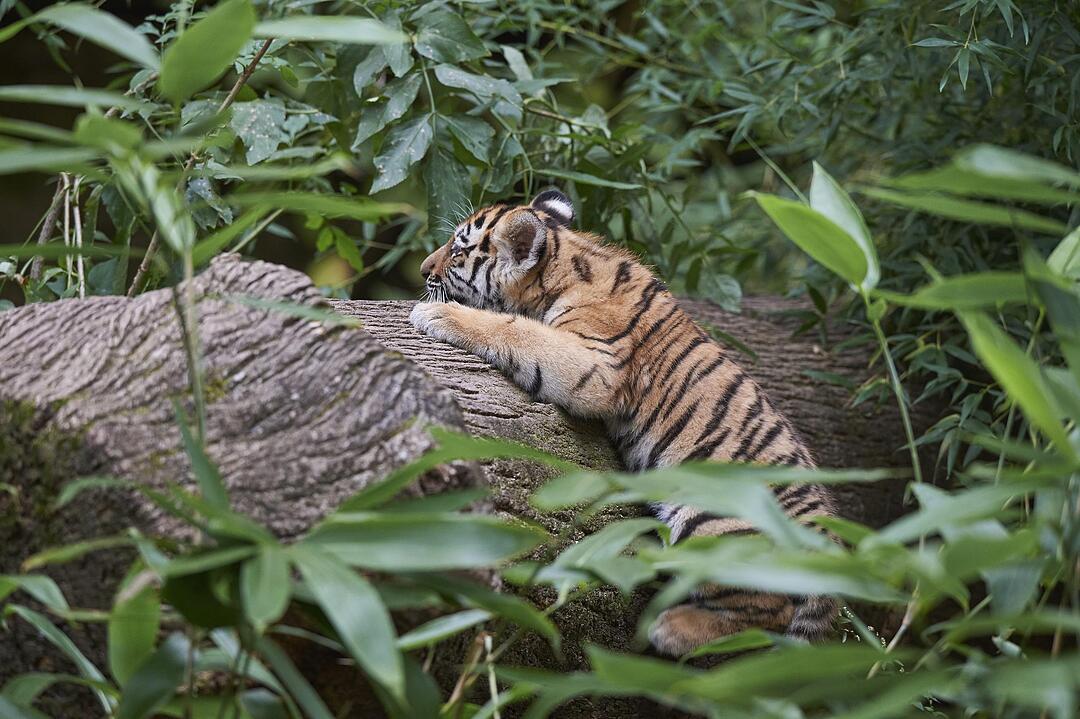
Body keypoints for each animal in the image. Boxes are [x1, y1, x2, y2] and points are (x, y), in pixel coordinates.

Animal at [410, 189, 838, 656]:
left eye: (457, 251)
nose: (422, 271)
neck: (565, 265)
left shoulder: (594, 363)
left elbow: (515, 329)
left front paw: (435, 315)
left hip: (714, 516)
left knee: (769, 608)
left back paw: (673, 630)